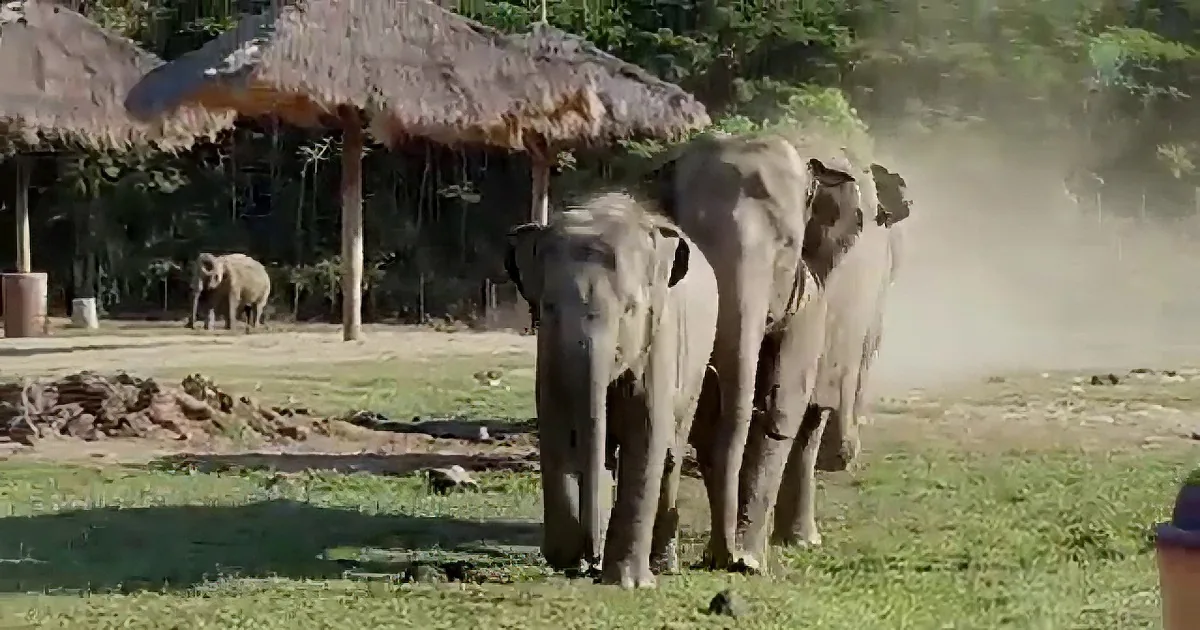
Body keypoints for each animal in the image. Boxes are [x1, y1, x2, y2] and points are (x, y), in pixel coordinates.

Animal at [503, 191, 719, 588]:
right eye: (549, 307)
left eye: (630, 310)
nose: (591, 557)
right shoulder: (549, 356)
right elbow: (557, 428)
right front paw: (568, 556)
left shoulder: (657, 342)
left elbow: (647, 433)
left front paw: (629, 582)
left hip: (696, 367)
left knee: (672, 452)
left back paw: (662, 565)